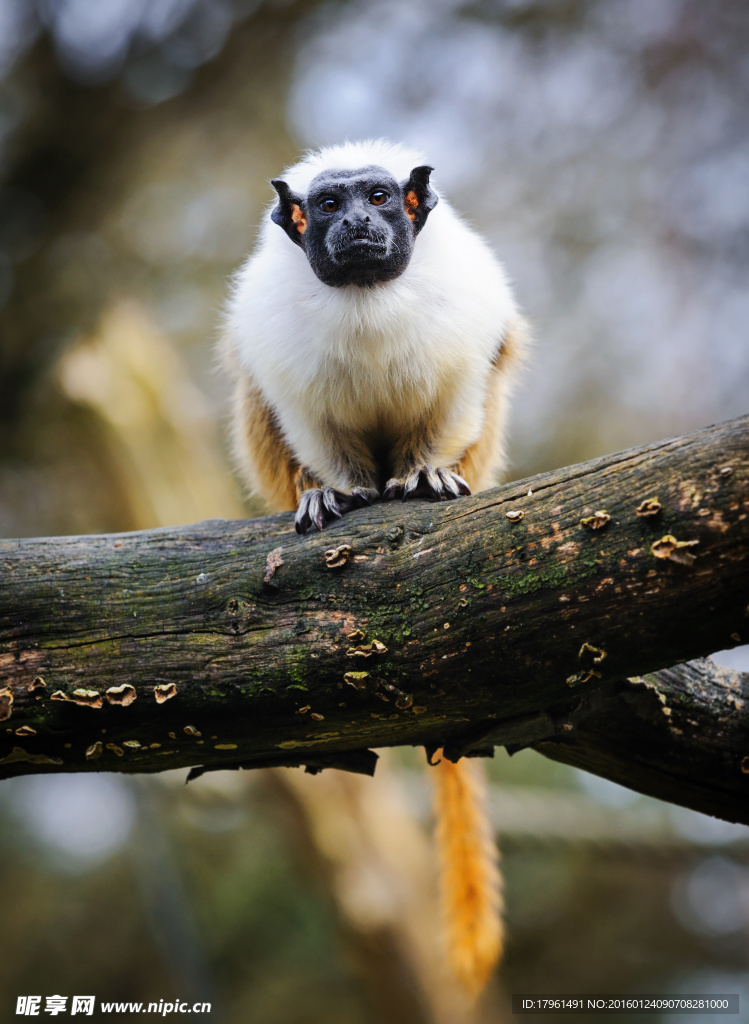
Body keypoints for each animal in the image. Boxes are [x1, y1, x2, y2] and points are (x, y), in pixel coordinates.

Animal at [221, 140, 528, 995]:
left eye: (380, 198)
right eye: (330, 206)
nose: (358, 223)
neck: (365, 299)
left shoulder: (465, 325)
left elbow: (457, 392)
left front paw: (422, 475)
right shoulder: (278, 340)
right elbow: (310, 422)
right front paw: (334, 491)